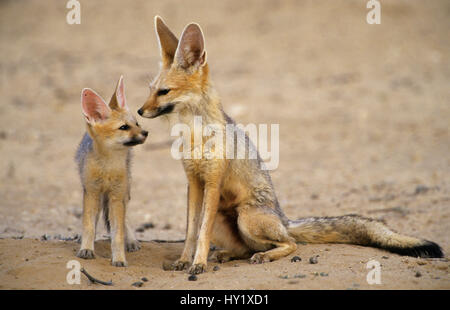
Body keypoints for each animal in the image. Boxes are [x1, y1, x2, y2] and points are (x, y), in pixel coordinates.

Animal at [138, 16, 442, 274]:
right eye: (150, 90)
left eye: (164, 92)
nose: (140, 111)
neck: (194, 136)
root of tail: (284, 219)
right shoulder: (193, 182)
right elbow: (191, 230)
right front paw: (183, 261)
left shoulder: (212, 181)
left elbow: (201, 232)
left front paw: (198, 264)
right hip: (228, 223)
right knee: (245, 247)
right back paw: (230, 254)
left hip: (246, 217)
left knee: (289, 244)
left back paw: (263, 255)